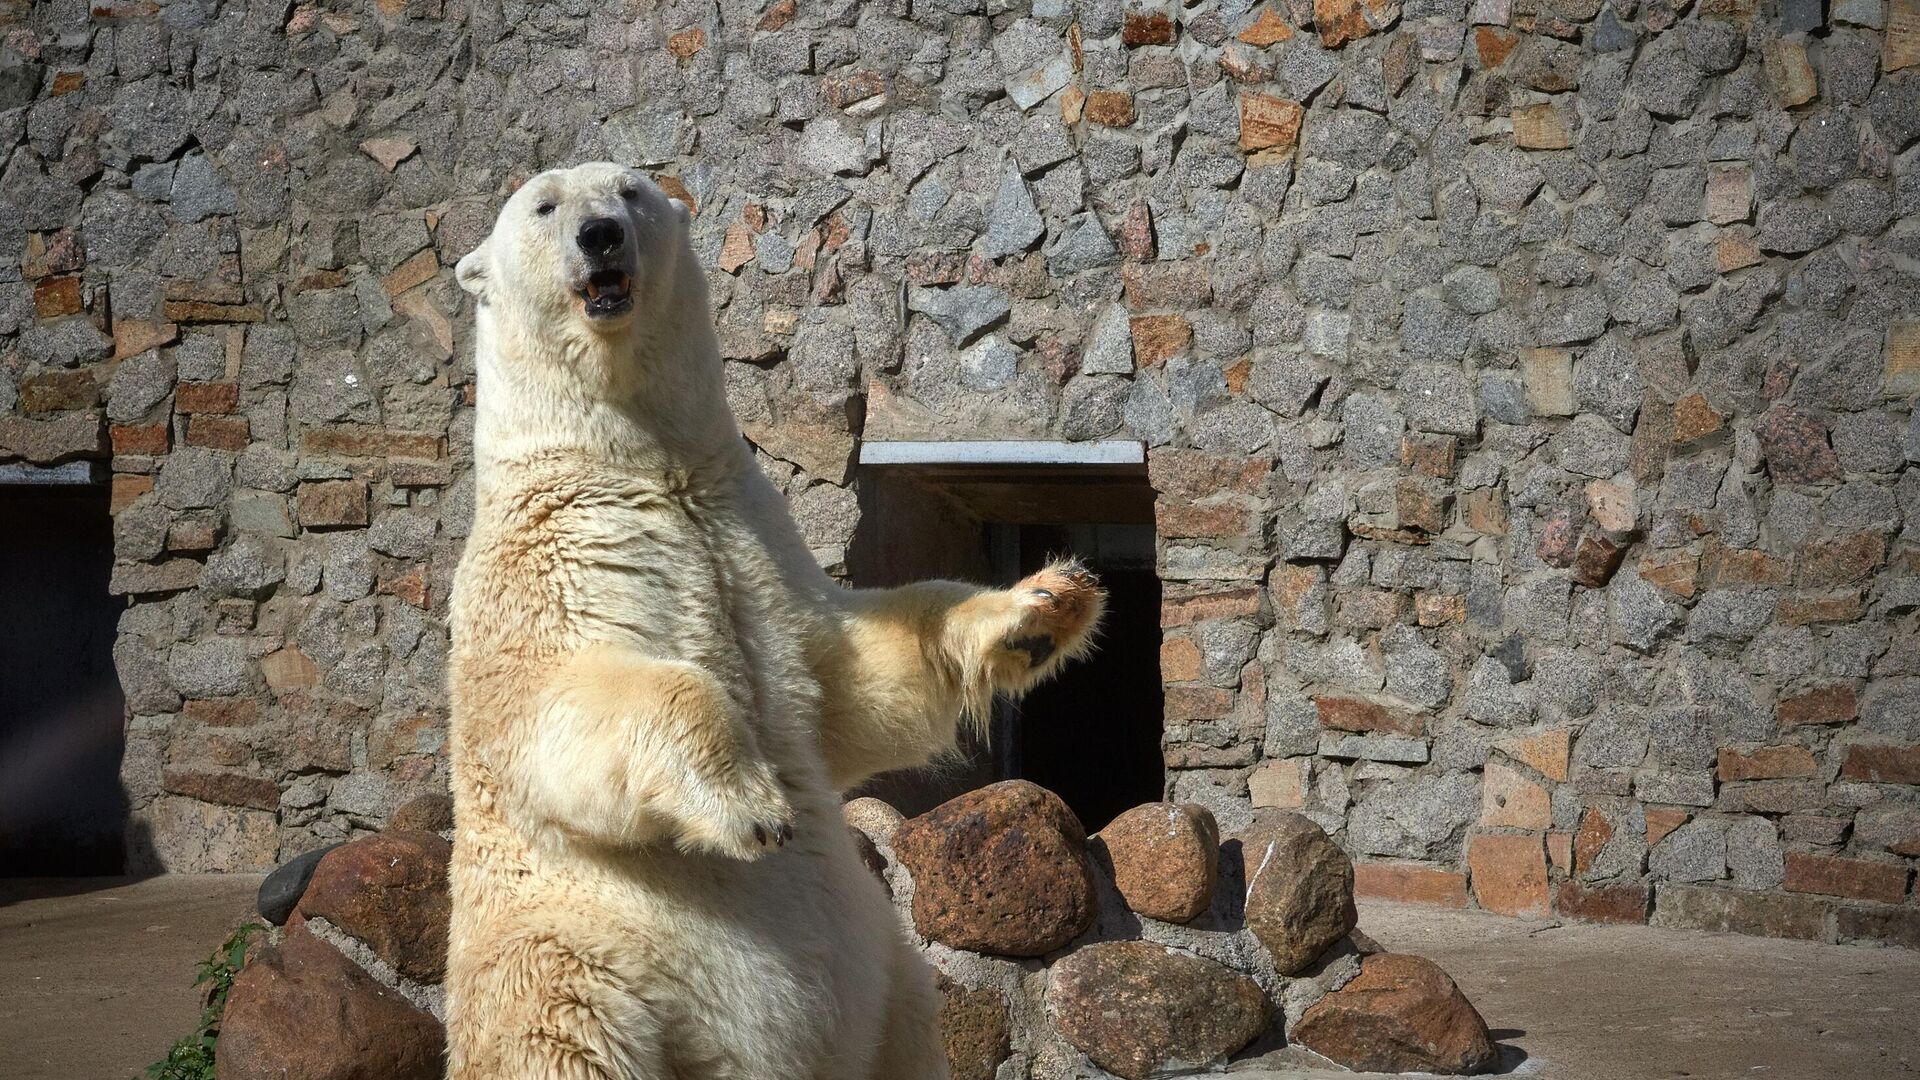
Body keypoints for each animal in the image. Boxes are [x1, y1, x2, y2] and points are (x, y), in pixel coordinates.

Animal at [441, 161, 1105, 1076]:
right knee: (559, 1024)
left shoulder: (752, 536)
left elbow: (850, 681)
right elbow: (559, 713)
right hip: (583, 959)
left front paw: (1045, 606)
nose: (600, 235)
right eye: (544, 206)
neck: (642, 469)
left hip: (887, 984)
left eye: (632, 192)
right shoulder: (544, 574)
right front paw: (751, 807)